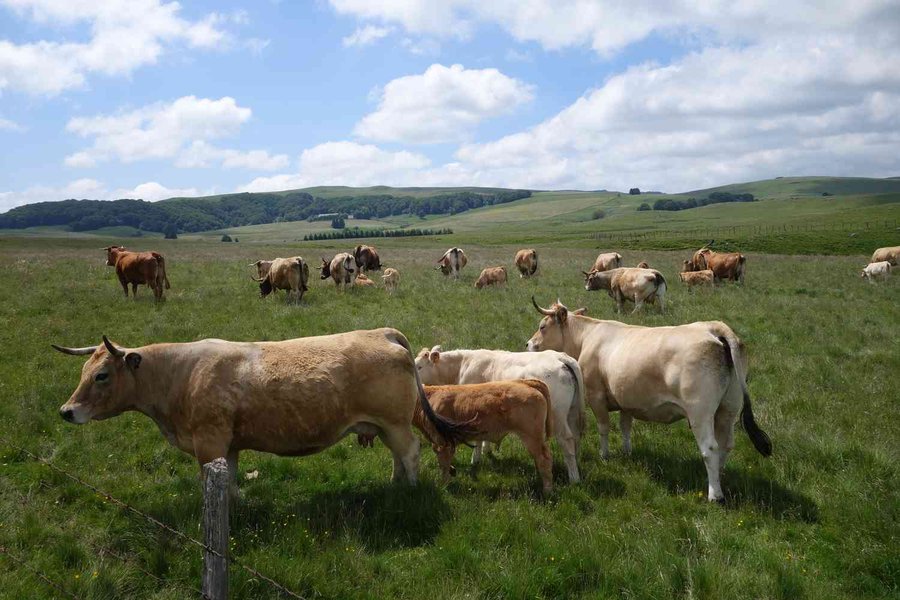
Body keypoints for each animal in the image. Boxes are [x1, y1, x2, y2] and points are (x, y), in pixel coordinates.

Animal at [414, 346, 584, 482]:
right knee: (575, 438)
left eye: (419, 367)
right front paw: (486, 450)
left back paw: (574, 479)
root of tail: (560, 357)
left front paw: (475, 459)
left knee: (566, 440)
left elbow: (477, 439)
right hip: (572, 413)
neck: (463, 364)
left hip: (558, 416)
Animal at [416, 382, 556, 494]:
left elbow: (444, 466)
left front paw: (443, 486)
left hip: (531, 436)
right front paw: (452, 472)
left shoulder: (442, 444)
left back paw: (547, 490)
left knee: (544, 459)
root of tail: (525, 383)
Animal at [528, 298, 772, 502]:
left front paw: (604, 455)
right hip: (728, 409)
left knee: (710, 448)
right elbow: (625, 426)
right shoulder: (626, 398)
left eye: (542, 326)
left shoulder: (595, 396)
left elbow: (604, 427)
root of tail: (713, 328)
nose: (529, 344)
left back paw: (715, 494)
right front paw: (627, 452)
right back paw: (720, 478)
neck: (586, 338)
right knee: (725, 445)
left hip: (700, 413)